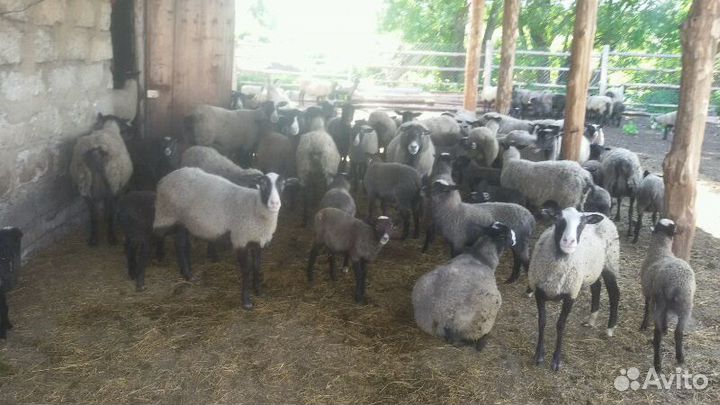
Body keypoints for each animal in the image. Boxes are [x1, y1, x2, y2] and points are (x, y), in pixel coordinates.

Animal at [153, 168, 293, 310]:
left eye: (283, 184)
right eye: (263, 183)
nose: (274, 204)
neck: (253, 207)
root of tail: (166, 178)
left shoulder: (257, 241)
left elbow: (257, 267)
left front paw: (259, 291)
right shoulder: (240, 239)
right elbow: (246, 271)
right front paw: (246, 301)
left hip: (183, 221)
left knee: (180, 244)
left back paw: (187, 274)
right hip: (167, 213)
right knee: (158, 234)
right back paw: (161, 258)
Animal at [528, 206, 620, 371]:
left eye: (582, 224)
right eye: (558, 219)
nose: (569, 241)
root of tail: (602, 215)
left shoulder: (570, 294)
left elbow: (561, 325)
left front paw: (556, 360)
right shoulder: (539, 290)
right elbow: (542, 321)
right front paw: (539, 355)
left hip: (611, 262)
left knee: (614, 293)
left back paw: (610, 328)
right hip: (592, 270)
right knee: (596, 287)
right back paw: (591, 319)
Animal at [639, 219, 696, 372]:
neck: (661, 249)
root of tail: (676, 284)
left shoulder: (647, 291)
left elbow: (646, 309)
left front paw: (644, 325)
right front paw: (665, 328)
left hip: (658, 302)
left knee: (657, 334)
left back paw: (657, 364)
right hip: (686, 306)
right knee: (678, 332)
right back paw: (680, 357)